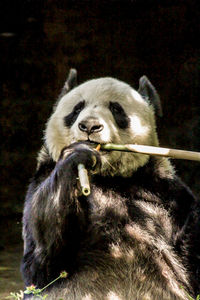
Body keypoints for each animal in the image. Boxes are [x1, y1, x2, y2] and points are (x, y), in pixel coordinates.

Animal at [21, 69, 200, 298]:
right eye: (77, 108)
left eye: (116, 109)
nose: (89, 126)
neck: (107, 177)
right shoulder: (43, 175)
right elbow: (43, 257)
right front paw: (77, 155)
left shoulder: (165, 194)